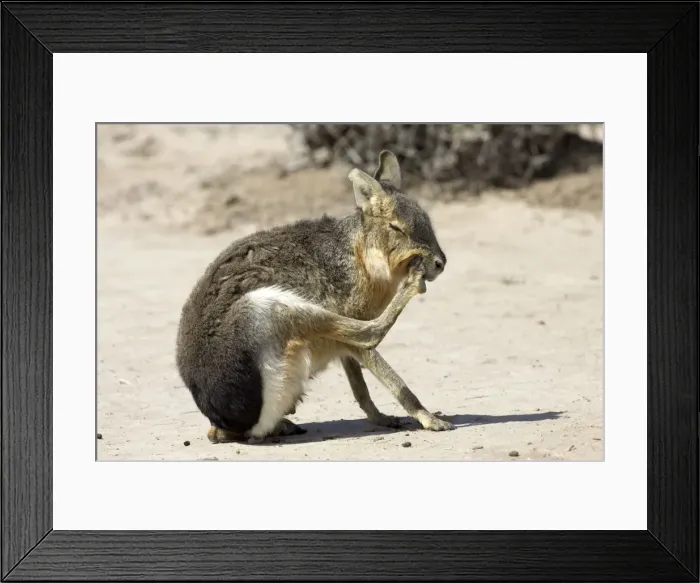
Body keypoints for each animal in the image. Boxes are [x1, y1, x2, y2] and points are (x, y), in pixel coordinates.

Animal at [175, 150, 454, 444]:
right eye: (396, 227)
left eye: (426, 220)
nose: (439, 263)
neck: (359, 255)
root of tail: (225, 419)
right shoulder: (351, 331)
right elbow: (390, 376)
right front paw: (429, 419)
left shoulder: (345, 350)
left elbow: (360, 389)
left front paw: (382, 419)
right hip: (265, 307)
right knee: (371, 331)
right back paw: (413, 282)